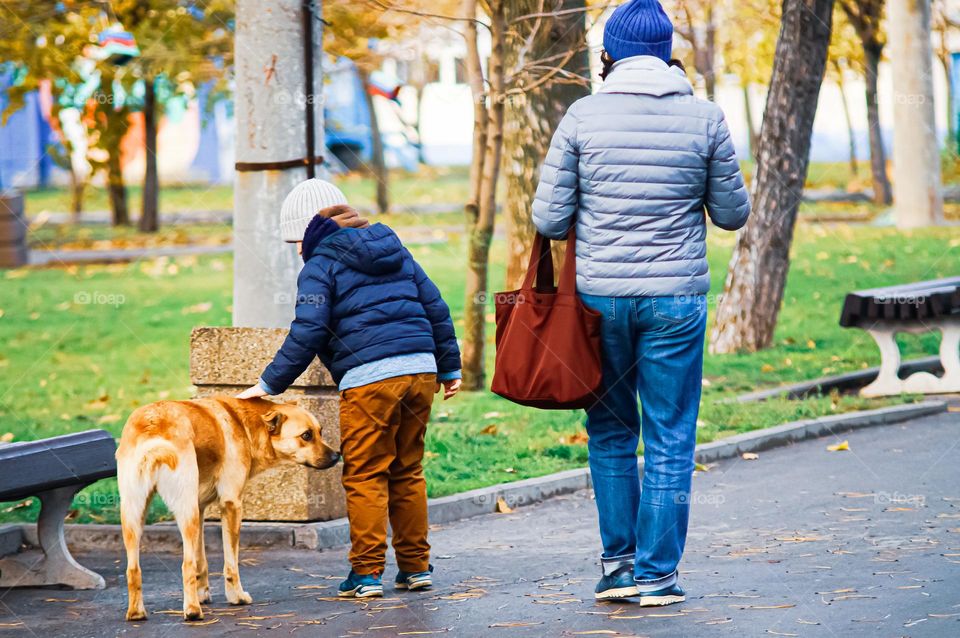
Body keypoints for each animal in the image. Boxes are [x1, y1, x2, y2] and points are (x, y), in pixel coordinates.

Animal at [116, 398, 342, 624]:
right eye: (306, 435)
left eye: (320, 431)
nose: (336, 456)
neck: (244, 425)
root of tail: (153, 423)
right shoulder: (231, 505)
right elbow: (230, 564)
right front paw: (236, 597)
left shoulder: (200, 509)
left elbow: (201, 561)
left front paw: (203, 593)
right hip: (185, 513)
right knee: (186, 564)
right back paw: (192, 611)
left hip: (135, 514)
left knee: (133, 569)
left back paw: (136, 612)